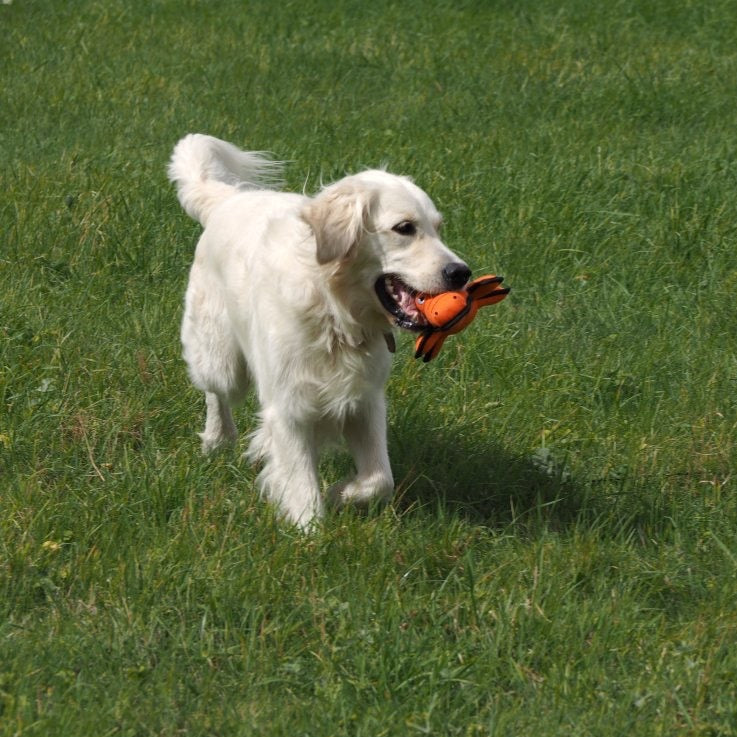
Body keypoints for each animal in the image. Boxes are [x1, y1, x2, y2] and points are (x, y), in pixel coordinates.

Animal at [167, 134, 472, 528]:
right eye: (405, 228)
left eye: (438, 227)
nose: (461, 273)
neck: (333, 312)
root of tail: (229, 199)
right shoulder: (289, 405)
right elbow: (302, 486)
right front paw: (309, 533)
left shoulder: (365, 401)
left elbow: (380, 479)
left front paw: (340, 495)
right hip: (221, 357)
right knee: (216, 393)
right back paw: (218, 441)